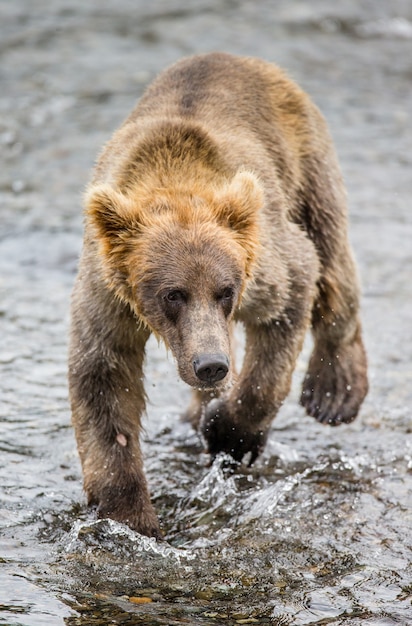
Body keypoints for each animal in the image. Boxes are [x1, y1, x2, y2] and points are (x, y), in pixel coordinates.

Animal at [67, 52, 366, 536]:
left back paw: (333, 394)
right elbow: (102, 379)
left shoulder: (263, 264)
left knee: (332, 260)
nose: (210, 365)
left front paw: (229, 435)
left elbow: (287, 314)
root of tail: (242, 58)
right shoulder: (109, 295)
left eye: (225, 291)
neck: (173, 176)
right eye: (172, 294)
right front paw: (129, 516)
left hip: (306, 167)